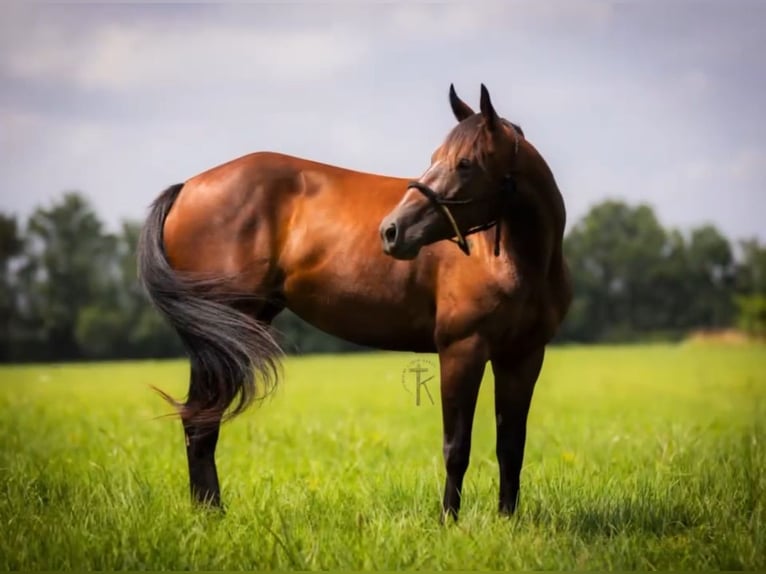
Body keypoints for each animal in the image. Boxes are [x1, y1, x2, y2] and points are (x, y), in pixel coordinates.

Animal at [137, 83, 572, 521]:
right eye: (435, 157)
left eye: (464, 163)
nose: (392, 230)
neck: (515, 260)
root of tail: (186, 187)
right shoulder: (462, 349)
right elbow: (457, 448)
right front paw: (449, 521)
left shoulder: (523, 356)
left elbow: (510, 448)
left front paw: (507, 519)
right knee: (200, 422)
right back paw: (211, 513)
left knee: (201, 420)